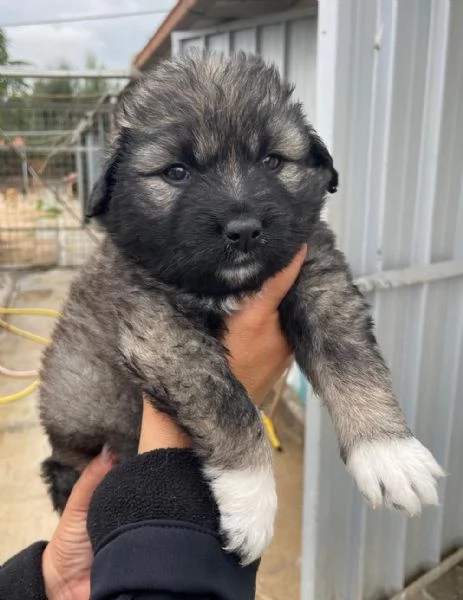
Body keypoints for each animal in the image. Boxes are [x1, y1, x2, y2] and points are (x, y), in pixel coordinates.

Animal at [40, 52, 446, 568]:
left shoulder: (316, 272)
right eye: (177, 172)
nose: (245, 230)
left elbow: (349, 356)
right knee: (60, 463)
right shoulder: (160, 327)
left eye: (272, 161)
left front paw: (388, 451)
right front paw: (252, 499)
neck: (229, 286)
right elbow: (229, 403)